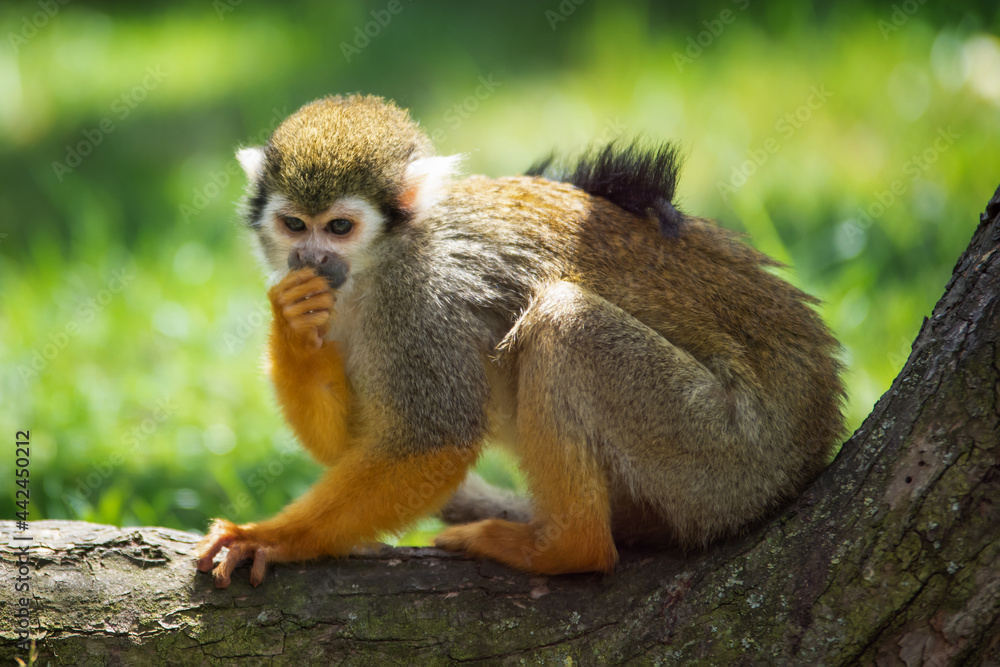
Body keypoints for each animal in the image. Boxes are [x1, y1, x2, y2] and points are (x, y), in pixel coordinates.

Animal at [195, 94, 845, 588]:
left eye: (339, 227)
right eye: (294, 225)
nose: (309, 259)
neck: (376, 265)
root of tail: (812, 438)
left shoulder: (419, 298)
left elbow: (433, 440)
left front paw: (272, 538)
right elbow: (354, 439)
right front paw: (292, 322)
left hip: (730, 453)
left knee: (562, 321)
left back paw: (569, 548)